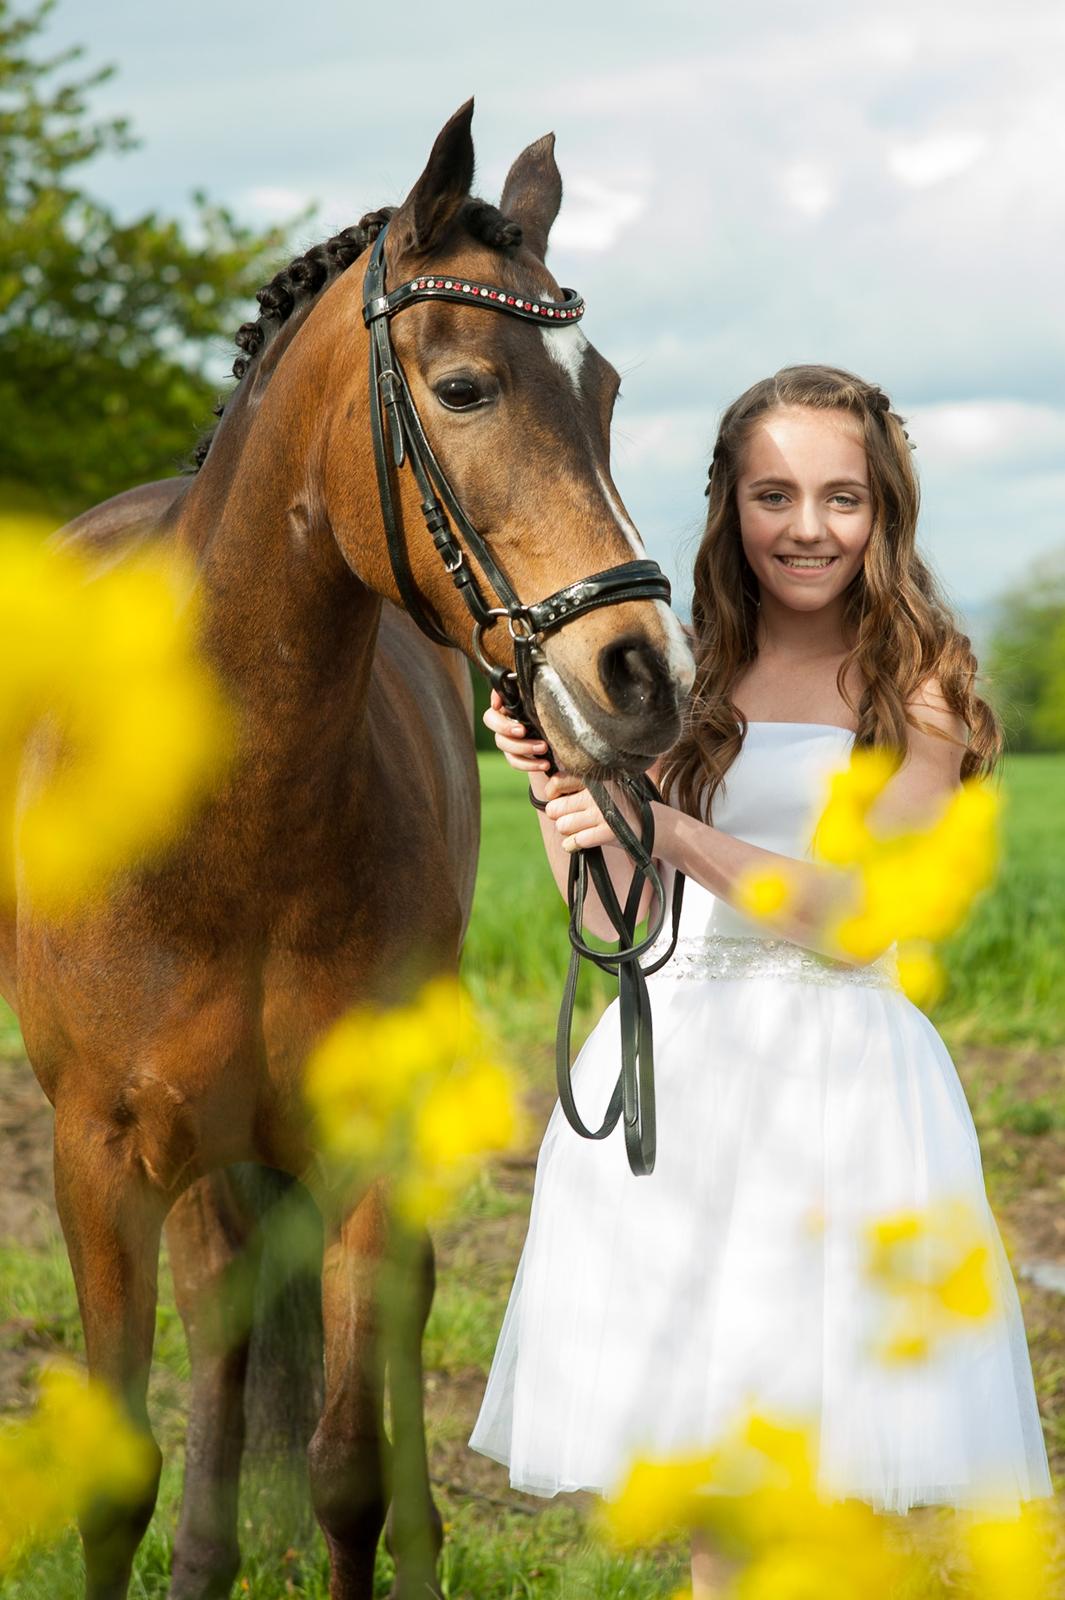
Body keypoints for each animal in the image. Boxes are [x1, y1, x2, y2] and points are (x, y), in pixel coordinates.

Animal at [0, 100, 694, 1599]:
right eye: (466, 387)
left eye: (605, 389)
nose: (644, 674)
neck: (229, 830)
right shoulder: (97, 1162)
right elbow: (117, 1477)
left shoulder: (368, 1135)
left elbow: (344, 1470)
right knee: (221, 1318)